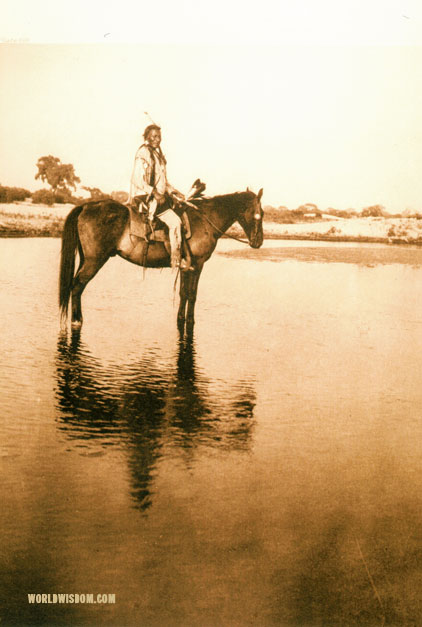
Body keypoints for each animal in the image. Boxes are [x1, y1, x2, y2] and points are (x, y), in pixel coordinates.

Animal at [59, 185, 264, 334]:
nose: (258, 241)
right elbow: (192, 294)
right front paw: (191, 321)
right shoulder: (197, 265)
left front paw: (181, 319)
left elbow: (183, 293)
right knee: (77, 286)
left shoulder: (185, 266)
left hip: (86, 259)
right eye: (259, 214)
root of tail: (86, 206)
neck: (206, 220)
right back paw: (77, 321)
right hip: (94, 261)